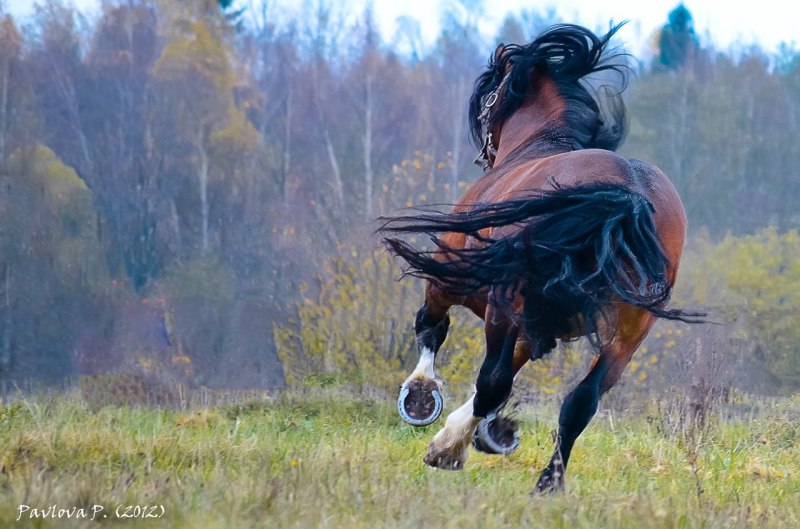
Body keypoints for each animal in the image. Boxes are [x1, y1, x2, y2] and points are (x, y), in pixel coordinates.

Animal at [382, 23, 700, 496]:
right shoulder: (537, 328)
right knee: (581, 402)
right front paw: (489, 433)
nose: (485, 151)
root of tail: (625, 194)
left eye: (489, 90)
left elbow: (433, 327)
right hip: (629, 333)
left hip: (502, 303)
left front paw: (422, 399)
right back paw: (547, 481)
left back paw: (450, 447)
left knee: (491, 381)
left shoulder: (453, 280)